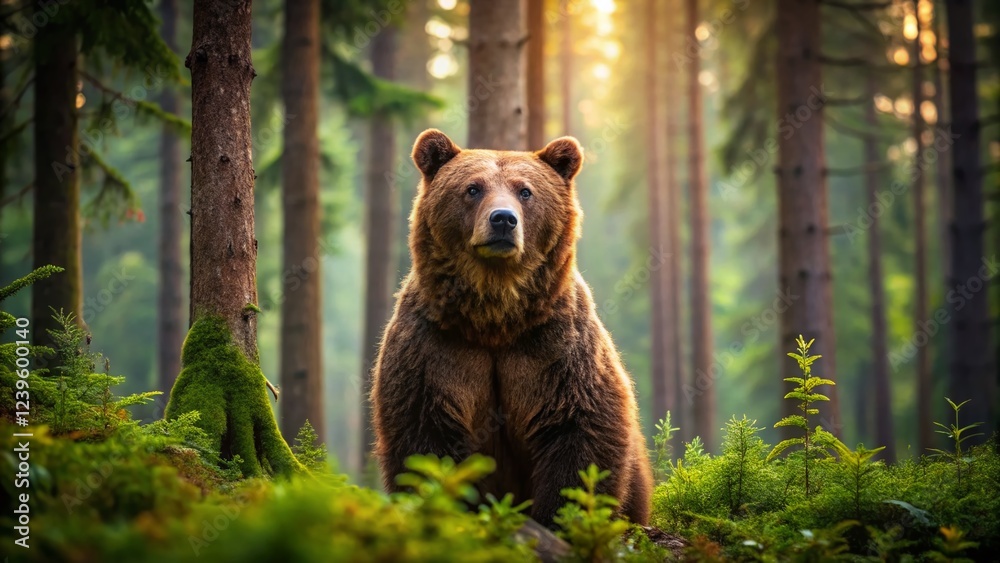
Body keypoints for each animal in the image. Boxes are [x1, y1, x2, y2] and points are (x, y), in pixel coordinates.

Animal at [370, 129, 652, 527]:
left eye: (525, 191)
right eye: (473, 188)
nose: (503, 219)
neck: (496, 319)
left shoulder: (553, 348)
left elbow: (579, 430)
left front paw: (559, 517)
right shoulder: (435, 347)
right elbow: (424, 433)